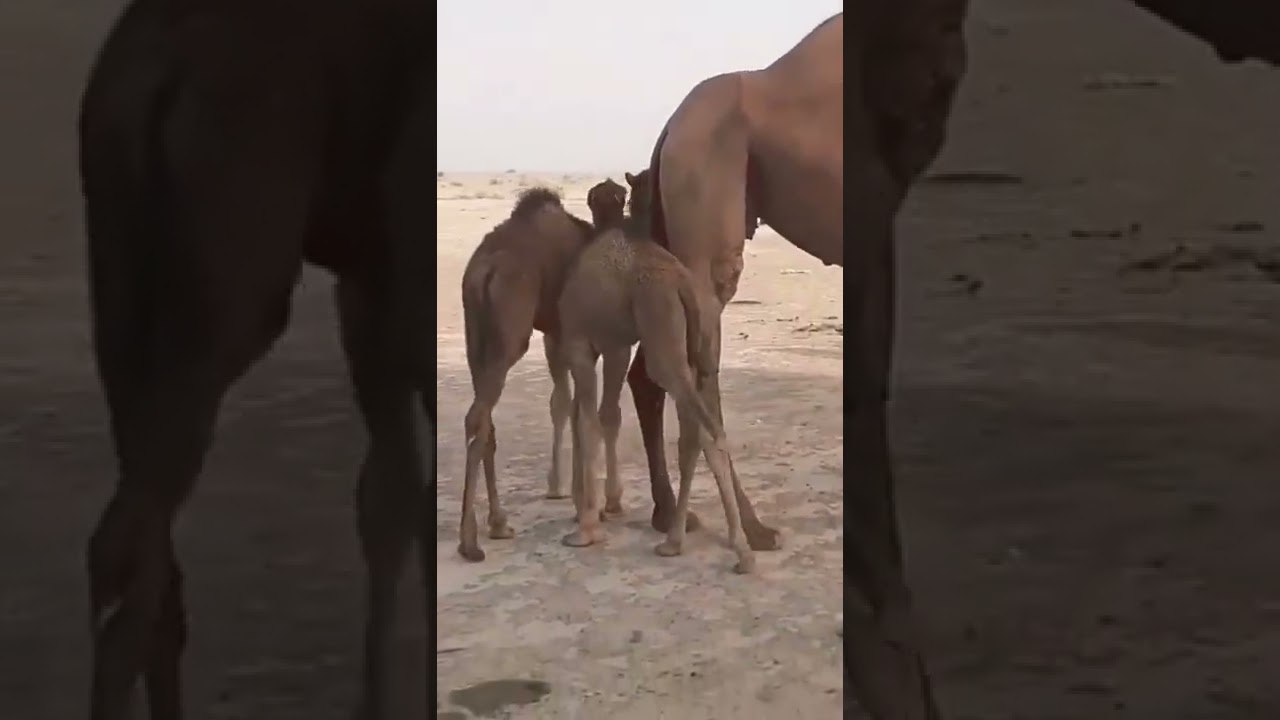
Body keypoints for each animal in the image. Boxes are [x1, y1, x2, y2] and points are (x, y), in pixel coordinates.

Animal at [79, 1, 432, 718]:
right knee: (130, 569)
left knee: (140, 559)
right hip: (232, 280)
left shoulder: (372, 286)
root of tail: (150, 68)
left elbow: (390, 497)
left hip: (120, 288)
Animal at [456, 181, 626, 562]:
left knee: (484, 420)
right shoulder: (587, 337)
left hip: (475, 338)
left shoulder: (560, 333)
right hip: (510, 334)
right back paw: (470, 541)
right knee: (477, 416)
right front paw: (594, 506)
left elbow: (570, 407)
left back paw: (499, 523)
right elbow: (589, 412)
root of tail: (482, 271)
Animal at [555, 181, 755, 573]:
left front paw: (585, 527)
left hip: (662, 337)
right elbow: (601, 416)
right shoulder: (616, 345)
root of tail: (681, 282)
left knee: (705, 429)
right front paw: (596, 509)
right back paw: (679, 541)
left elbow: (586, 421)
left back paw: (737, 550)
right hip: (690, 345)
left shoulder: (579, 343)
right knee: (701, 431)